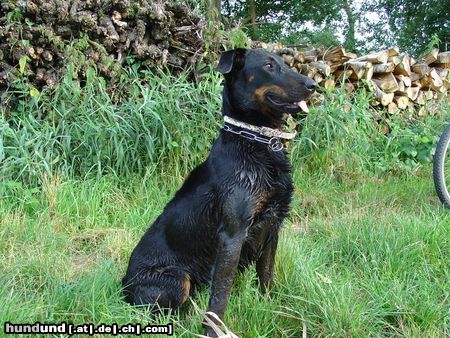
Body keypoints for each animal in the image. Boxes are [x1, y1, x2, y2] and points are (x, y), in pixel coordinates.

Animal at [121, 47, 314, 336]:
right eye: (269, 65)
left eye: (285, 63)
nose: (313, 85)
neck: (256, 141)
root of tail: (123, 285)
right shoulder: (233, 233)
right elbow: (221, 294)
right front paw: (214, 330)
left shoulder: (273, 225)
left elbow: (266, 275)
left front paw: (271, 308)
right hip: (177, 278)